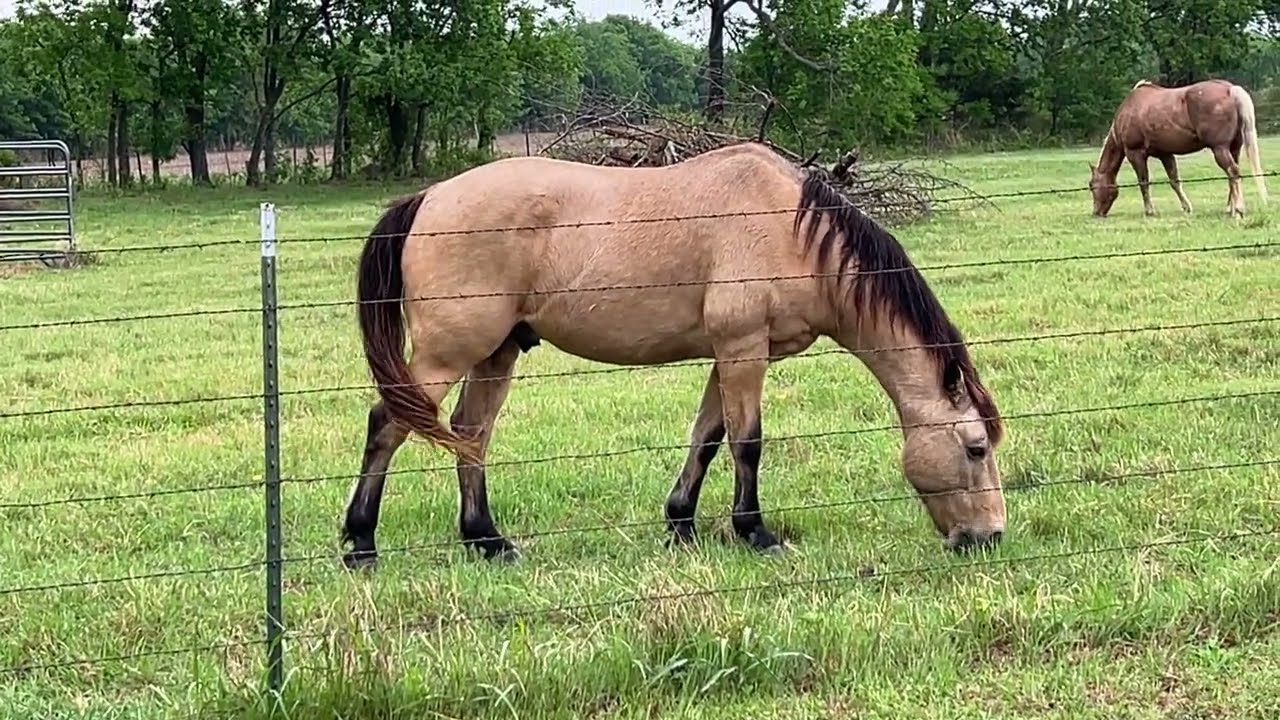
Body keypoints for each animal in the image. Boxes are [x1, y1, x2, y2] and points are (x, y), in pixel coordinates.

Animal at [340, 142, 1007, 570]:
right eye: (975, 448)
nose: (990, 536)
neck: (791, 229)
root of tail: (428, 197)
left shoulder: (730, 354)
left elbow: (706, 438)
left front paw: (681, 526)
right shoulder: (743, 350)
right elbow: (747, 443)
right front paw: (755, 532)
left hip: (496, 352)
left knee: (471, 434)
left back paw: (488, 541)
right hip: (449, 352)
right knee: (389, 425)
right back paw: (361, 544)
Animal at [1089, 79, 1267, 218]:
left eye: (1091, 185)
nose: (1097, 212)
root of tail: (1230, 90)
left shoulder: (1135, 153)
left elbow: (1143, 182)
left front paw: (1149, 211)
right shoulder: (1165, 154)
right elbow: (1174, 181)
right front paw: (1187, 207)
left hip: (1220, 148)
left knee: (1233, 172)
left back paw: (1239, 208)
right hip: (1234, 148)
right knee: (1233, 174)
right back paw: (1230, 208)